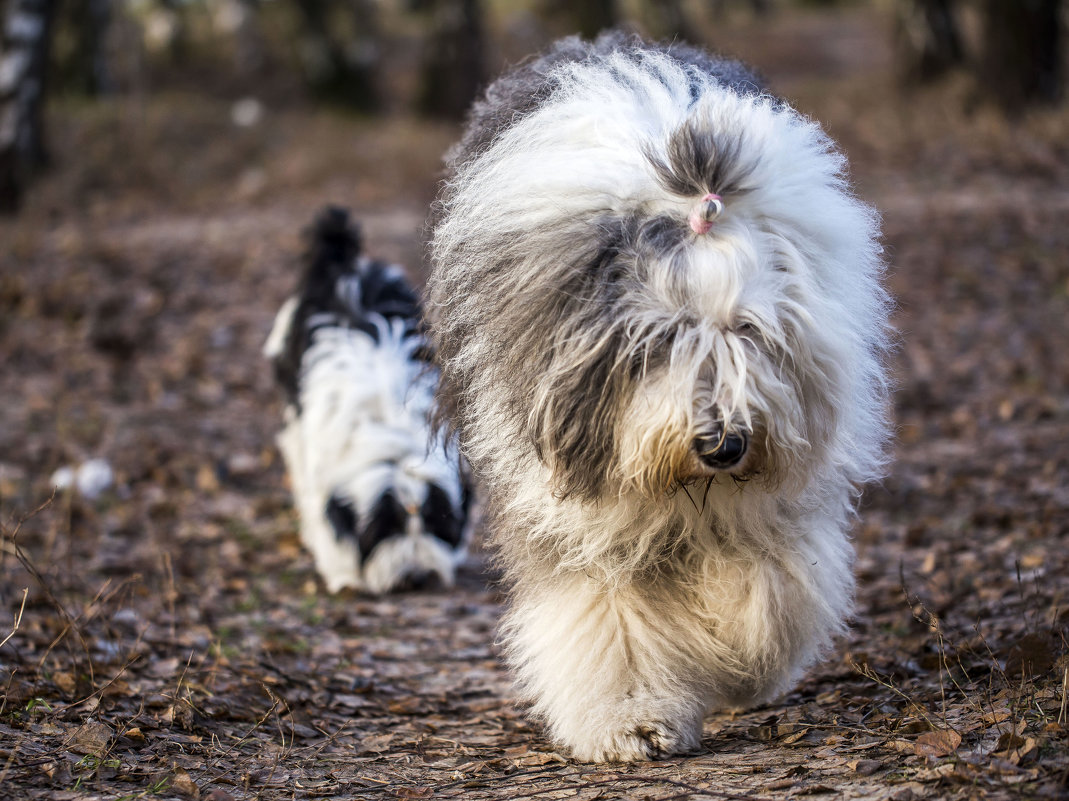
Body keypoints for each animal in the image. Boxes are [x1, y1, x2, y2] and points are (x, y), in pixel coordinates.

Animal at [427, 35, 893, 761]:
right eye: (662, 337)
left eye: (747, 329)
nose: (723, 444)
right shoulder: (572, 508)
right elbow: (608, 613)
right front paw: (633, 720)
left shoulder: (770, 501)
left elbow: (771, 584)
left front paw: (738, 663)